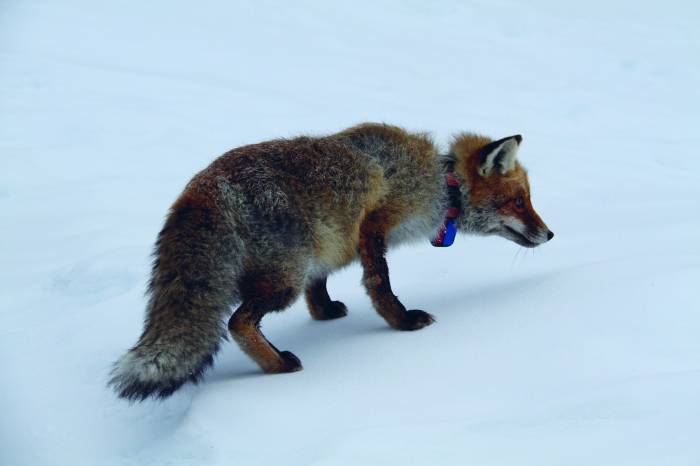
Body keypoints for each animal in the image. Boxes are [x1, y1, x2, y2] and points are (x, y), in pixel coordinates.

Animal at [109, 123, 553, 401]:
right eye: (518, 201)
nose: (550, 234)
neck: (439, 184)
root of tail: (202, 186)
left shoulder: (331, 246)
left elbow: (319, 285)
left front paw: (323, 313)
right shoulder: (374, 222)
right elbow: (381, 285)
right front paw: (402, 322)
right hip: (283, 279)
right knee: (237, 322)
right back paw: (278, 365)